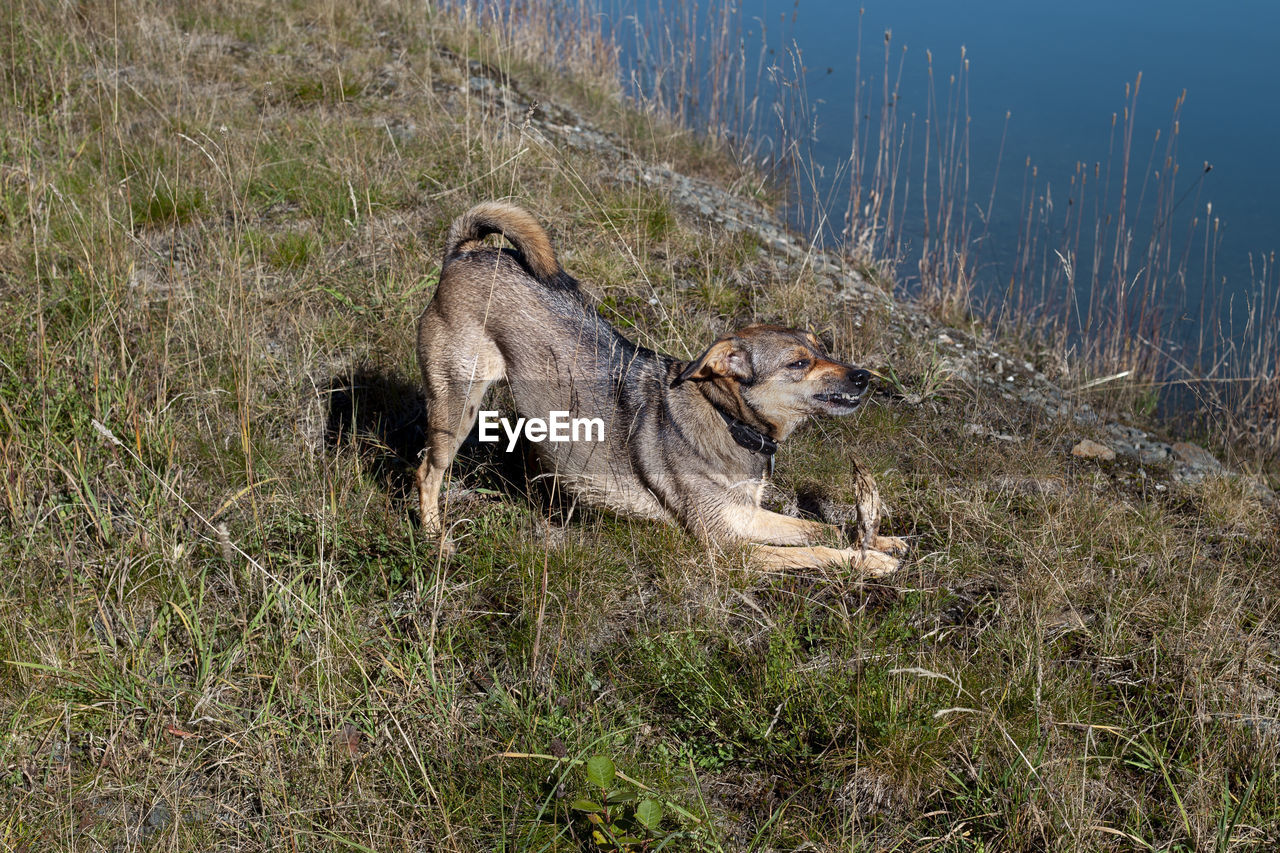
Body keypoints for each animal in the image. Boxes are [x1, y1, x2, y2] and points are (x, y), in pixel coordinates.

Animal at [414, 201, 906, 571]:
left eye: (822, 347)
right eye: (798, 363)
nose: (864, 376)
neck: (728, 419)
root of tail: (466, 252)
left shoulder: (745, 515)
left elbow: (818, 528)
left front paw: (879, 541)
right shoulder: (728, 546)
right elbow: (819, 550)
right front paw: (868, 561)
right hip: (458, 403)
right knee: (426, 471)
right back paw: (435, 540)